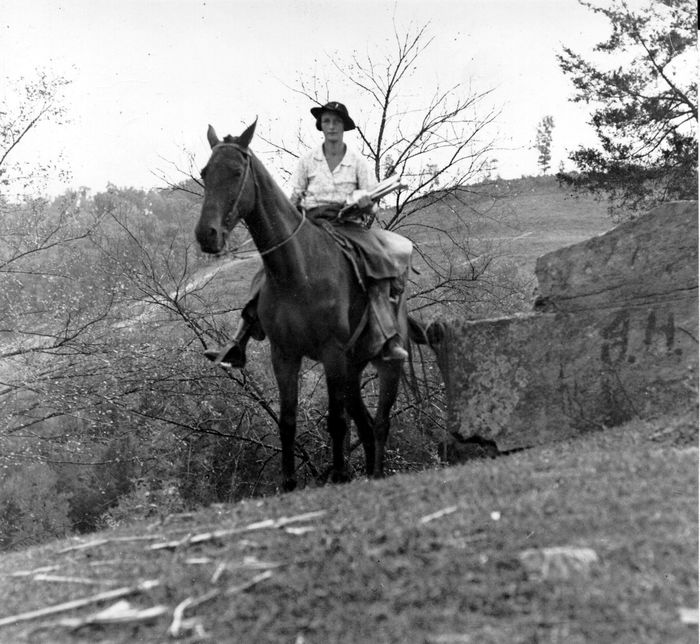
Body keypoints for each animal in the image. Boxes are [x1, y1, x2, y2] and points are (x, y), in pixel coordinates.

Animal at [197, 121, 424, 490]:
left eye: (235, 172)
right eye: (205, 173)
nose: (207, 234)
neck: (297, 271)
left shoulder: (331, 353)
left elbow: (336, 421)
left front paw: (341, 475)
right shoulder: (284, 355)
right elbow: (288, 420)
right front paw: (289, 483)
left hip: (386, 365)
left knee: (379, 423)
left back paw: (375, 474)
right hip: (352, 369)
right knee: (364, 424)